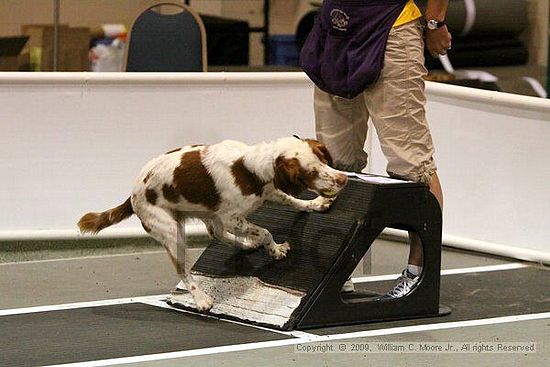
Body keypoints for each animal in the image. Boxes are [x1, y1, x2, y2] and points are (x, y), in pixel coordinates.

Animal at [76, 137, 350, 312]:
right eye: (310, 172)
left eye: (323, 160)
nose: (343, 179)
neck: (248, 167)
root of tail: (132, 197)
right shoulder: (234, 217)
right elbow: (265, 231)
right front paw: (275, 250)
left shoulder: (267, 194)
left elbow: (293, 201)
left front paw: (316, 204)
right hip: (172, 232)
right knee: (184, 270)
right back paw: (201, 299)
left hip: (207, 212)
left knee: (215, 233)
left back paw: (246, 245)